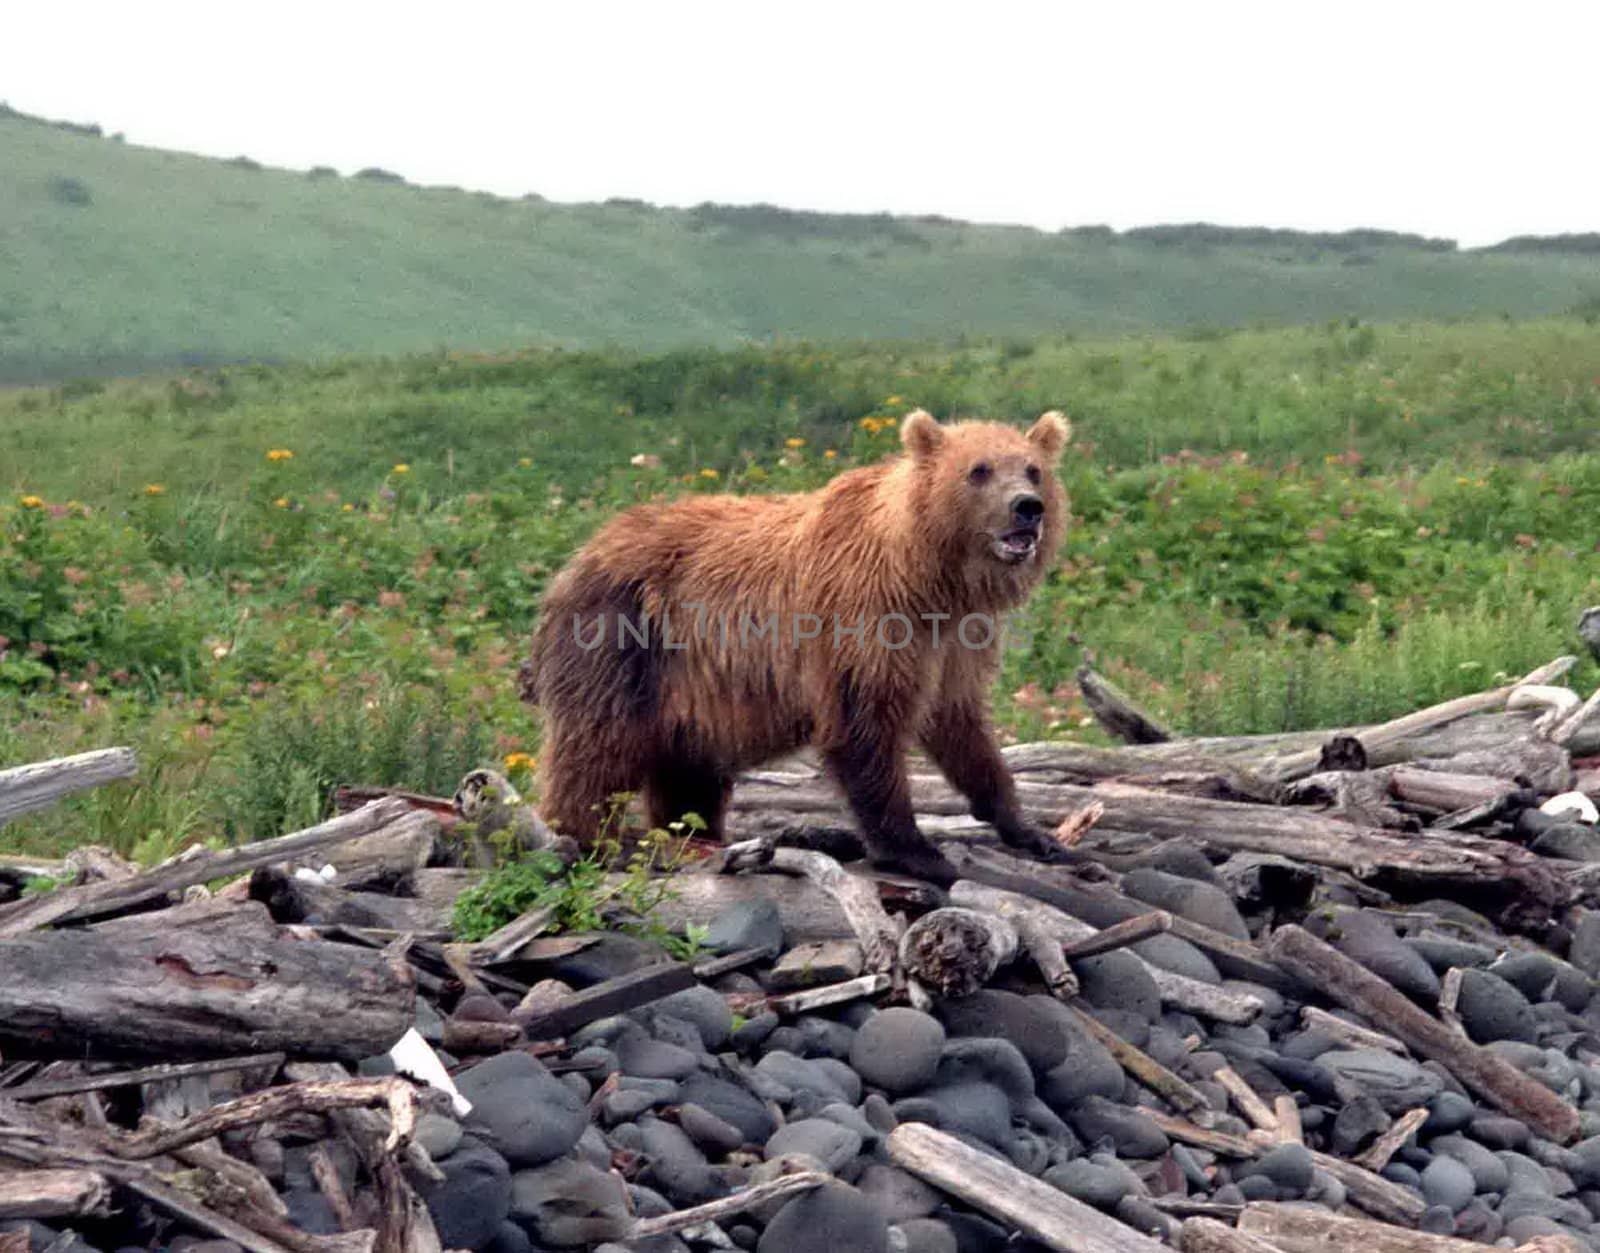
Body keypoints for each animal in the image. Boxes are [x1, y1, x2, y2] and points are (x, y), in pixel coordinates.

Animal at [521, 412, 1075, 883]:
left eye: (1033, 469)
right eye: (978, 470)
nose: (1027, 507)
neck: (929, 574)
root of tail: (580, 555)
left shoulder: (956, 641)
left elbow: (960, 724)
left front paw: (1029, 829)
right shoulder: (862, 620)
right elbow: (864, 728)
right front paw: (916, 851)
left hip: (687, 688)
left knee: (685, 768)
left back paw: (697, 833)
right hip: (623, 639)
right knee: (597, 745)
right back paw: (597, 836)